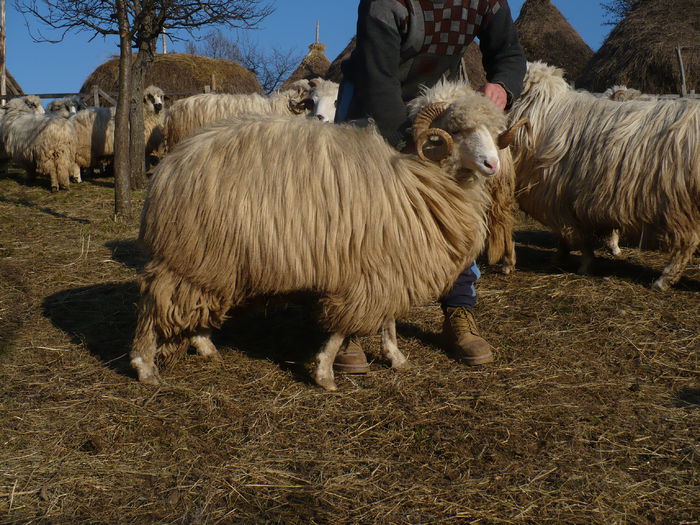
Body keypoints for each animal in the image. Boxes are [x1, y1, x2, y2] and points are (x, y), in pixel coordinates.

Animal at [131, 91, 528, 388]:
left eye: (494, 131)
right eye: (457, 131)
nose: (492, 165)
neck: (419, 183)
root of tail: (171, 165)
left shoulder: (389, 267)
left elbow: (387, 321)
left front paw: (395, 357)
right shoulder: (367, 272)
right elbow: (344, 326)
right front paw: (325, 371)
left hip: (208, 261)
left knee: (191, 300)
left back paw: (202, 345)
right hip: (188, 253)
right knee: (154, 303)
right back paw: (144, 365)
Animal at [508, 62, 700, 290]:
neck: (545, 114)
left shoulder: (559, 200)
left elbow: (574, 237)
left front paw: (584, 265)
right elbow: (569, 237)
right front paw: (562, 259)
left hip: (680, 205)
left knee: (687, 243)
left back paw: (663, 280)